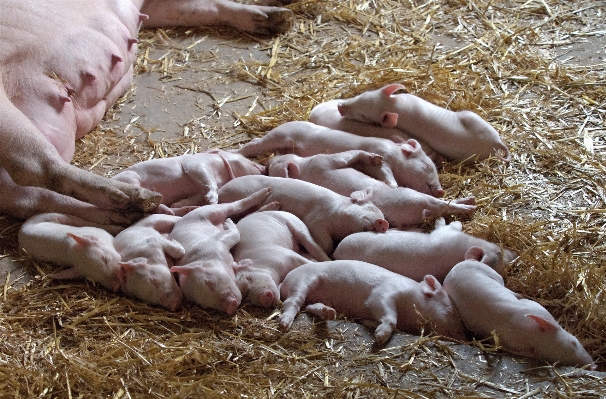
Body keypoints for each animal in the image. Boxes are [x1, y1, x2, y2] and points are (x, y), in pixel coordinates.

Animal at [0, 0, 294, 225]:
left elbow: (202, 7)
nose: (263, 166)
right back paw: (139, 198)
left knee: (29, 197)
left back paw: (138, 211)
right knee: (36, 168)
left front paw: (279, 19)